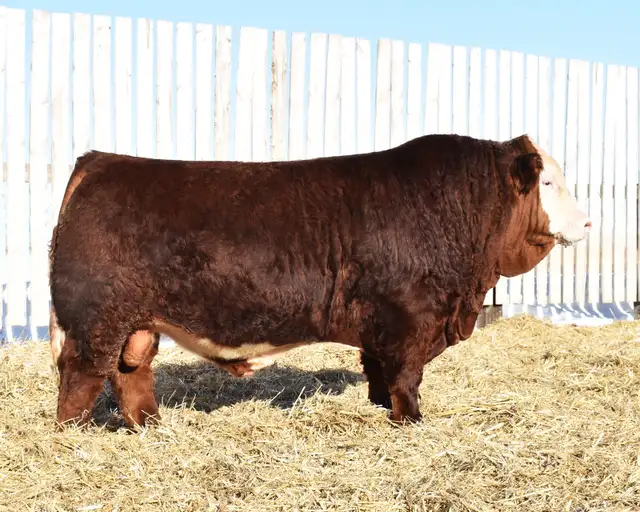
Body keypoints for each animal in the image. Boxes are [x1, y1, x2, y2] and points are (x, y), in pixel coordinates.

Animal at [48, 133, 591, 430]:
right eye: (548, 182)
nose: (587, 222)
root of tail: (101, 161)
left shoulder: (382, 325)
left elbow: (379, 372)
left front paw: (382, 409)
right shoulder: (410, 317)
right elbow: (406, 375)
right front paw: (411, 421)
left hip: (135, 324)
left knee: (131, 374)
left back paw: (150, 426)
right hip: (95, 321)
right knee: (81, 377)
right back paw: (76, 435)